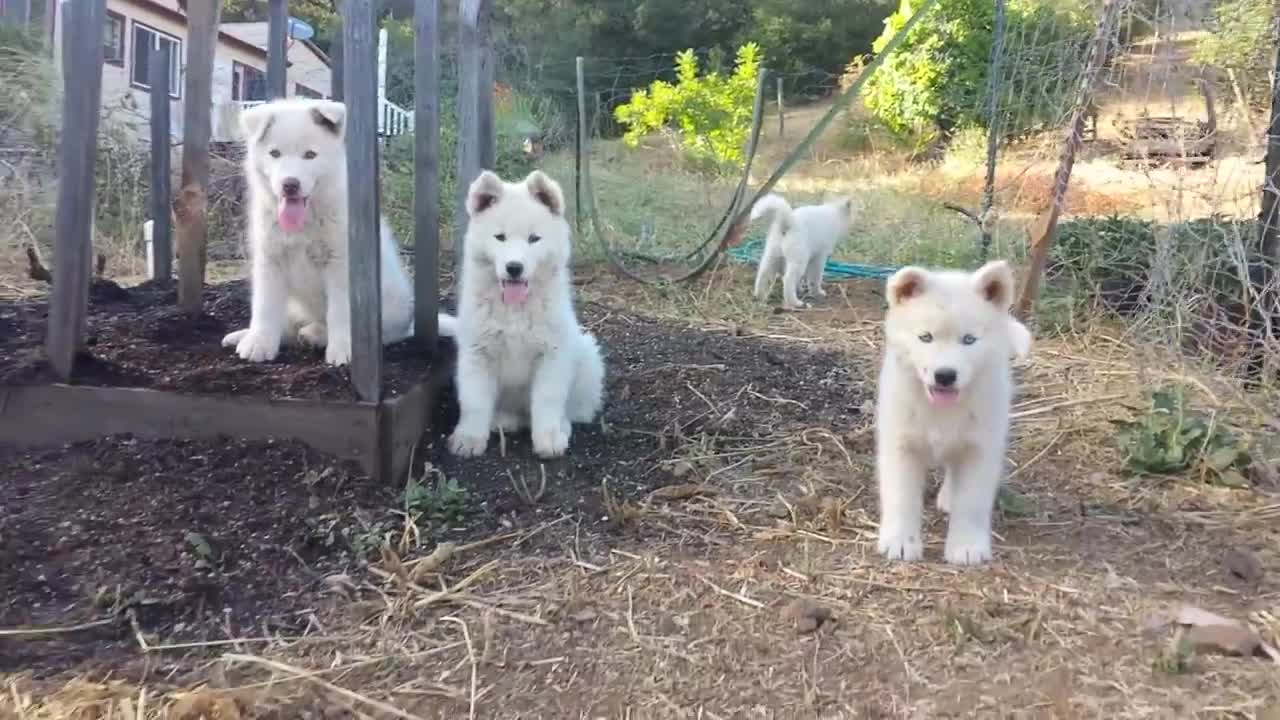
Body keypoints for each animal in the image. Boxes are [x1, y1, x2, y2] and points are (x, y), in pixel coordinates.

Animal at [227, 98, 448, 363]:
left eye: (310, 155)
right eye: (274, 153)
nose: (290, 184)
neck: (306, 220)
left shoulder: (341, 265)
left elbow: (340, 312)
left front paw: (343, 348)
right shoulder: (270, 259)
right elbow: (265, 306)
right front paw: (258, 343)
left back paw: (316, 335)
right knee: (290, 323)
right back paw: (248, 335)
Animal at [445, 170, 604, 456]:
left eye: (534, 239)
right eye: (500, 237)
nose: (514, 268)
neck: (515, 309)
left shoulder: (552, 354)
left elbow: (547, 400)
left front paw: (548, 439)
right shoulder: (477, 354)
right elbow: (474, 402)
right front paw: (469, 439)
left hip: (587, 358)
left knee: (576, 411)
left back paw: (562, 424)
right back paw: (503, 421)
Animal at [875, 258, 1034, 566]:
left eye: (969, 340)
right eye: (925, 337)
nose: (945, 375)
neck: (941, 410)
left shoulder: (980, 448)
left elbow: (971, 501)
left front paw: (967, 546)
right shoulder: (901, 444)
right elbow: (901, 496)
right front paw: (900, 541)